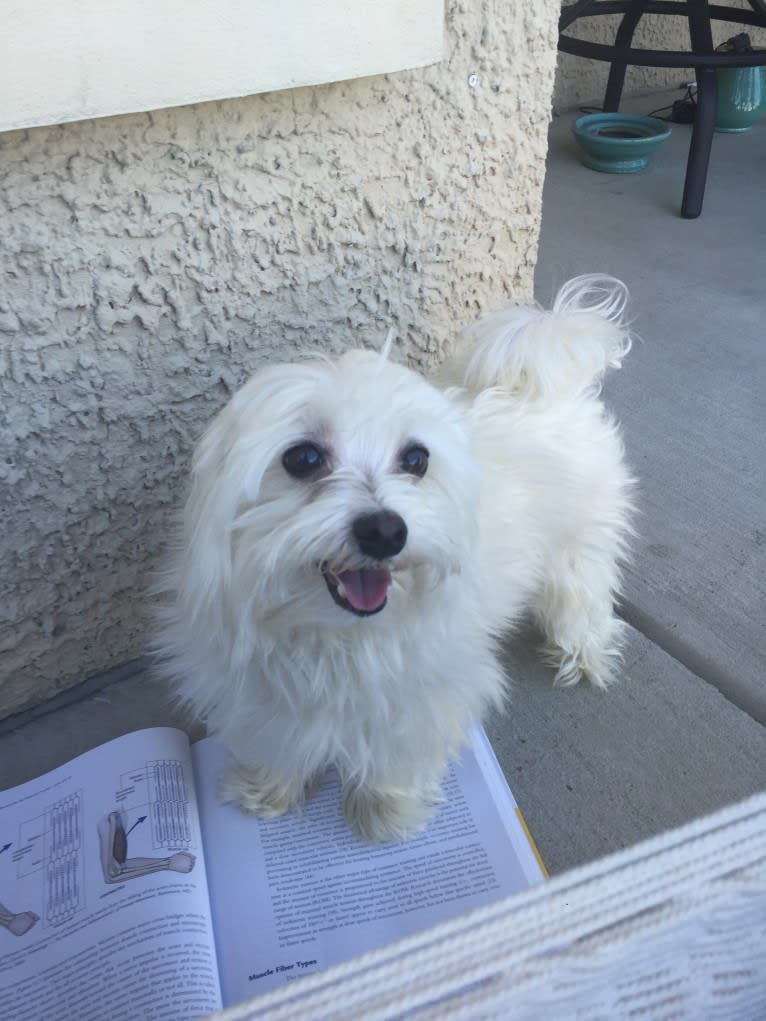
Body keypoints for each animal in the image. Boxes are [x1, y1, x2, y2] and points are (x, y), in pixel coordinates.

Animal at [156, 275, 637, 841]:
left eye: (416, 459)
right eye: (303, 458)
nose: (386, 532)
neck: (334, 634)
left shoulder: (421, 694)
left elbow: (396, 751)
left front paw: (384, 810)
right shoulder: (256, 687)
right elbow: (274, 736)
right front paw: (266, 788)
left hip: (578, 543)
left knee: (582, 596)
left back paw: (585, 651)